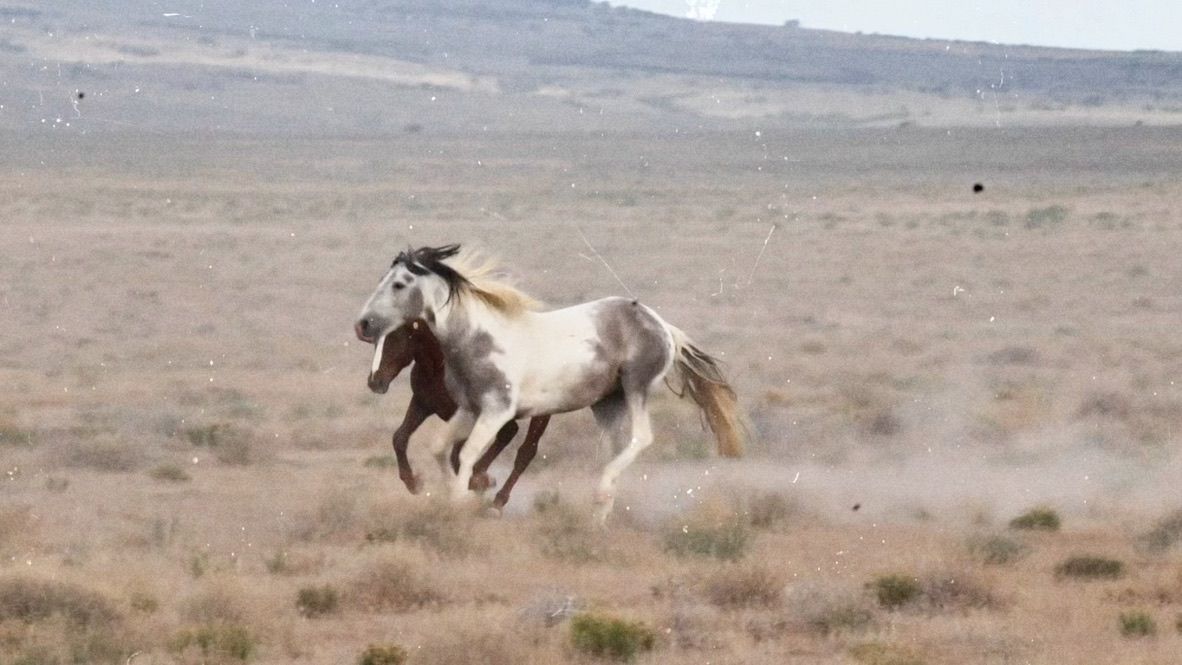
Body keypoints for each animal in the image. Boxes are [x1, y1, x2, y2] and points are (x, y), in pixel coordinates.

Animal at [364, 317, 550, 510]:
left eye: (395, 337)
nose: (374, 381)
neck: (440, 365)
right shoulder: (422, 403)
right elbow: (399, 438)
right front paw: (413, 483)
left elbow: (457, 455)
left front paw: (475, 484)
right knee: (509, 433)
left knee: (525, 451)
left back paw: (496, 500)